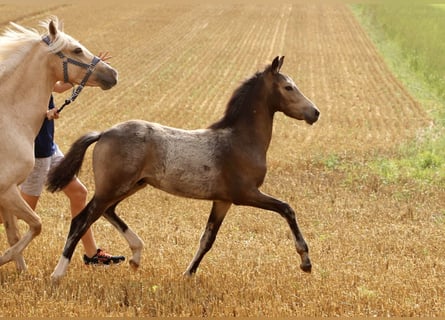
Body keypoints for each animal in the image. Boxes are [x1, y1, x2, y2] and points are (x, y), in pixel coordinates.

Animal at [0, 17, 118, 272]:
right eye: (77, 50)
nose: (113, 74)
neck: (9, 117)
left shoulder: (7, 193)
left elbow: (15, 234)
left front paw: (21, 271)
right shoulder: (7, 190)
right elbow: (36, 225)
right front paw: (3, 259)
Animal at [47, 56, 320, 282]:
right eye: (288, 87)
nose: (315, 113)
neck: (240, 140)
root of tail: (104, 133)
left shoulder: (223, 200)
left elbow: (207, 239)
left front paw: (188, 273)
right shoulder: (246, 194)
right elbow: (287, 209)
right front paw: (305, 262)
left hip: (130, 186)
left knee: (107, 212)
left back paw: (136, 256)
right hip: (113, 187)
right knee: (82, 219)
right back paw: (58, 274)